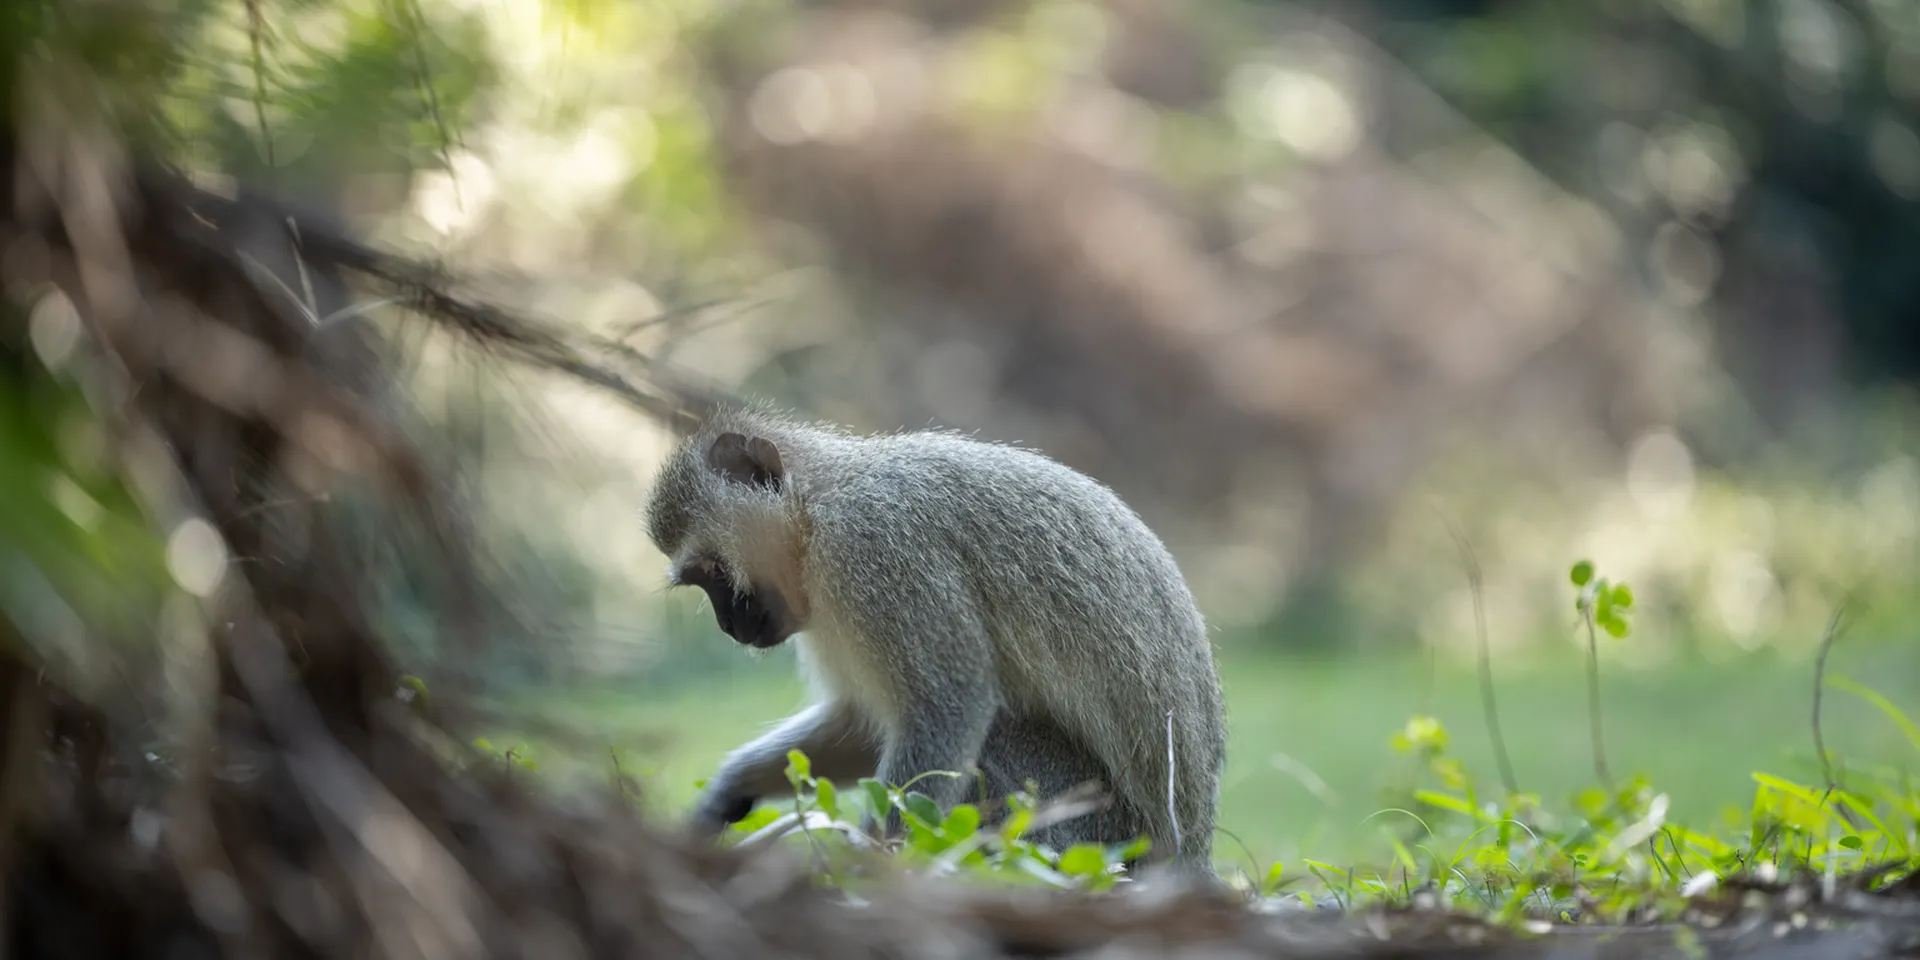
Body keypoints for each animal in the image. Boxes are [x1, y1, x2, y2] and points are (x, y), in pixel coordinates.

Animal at [642, 404, 1228, 874]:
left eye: (714, 573)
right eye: (701, 580)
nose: (729, 626)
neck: (817, 510)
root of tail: (1191, 855)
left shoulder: (875, 547)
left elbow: (950, 706)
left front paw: (871, 866)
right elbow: (861, 725)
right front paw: (730, 790)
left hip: (1101, 834)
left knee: (994, 739)